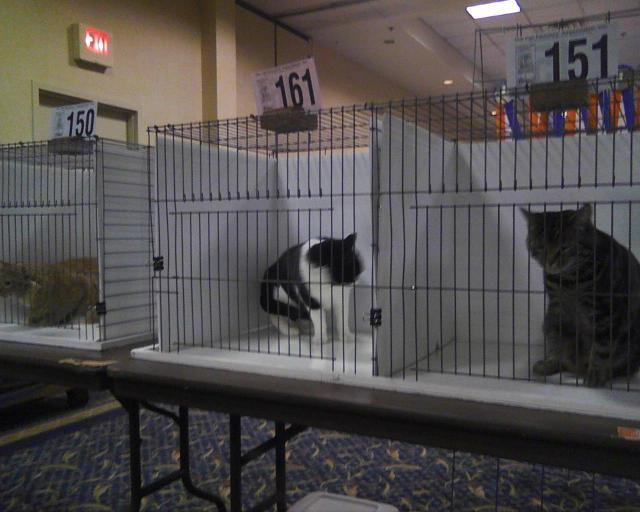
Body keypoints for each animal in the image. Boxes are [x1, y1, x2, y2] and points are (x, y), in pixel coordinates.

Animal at [524, 206, 640, 386]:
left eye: (564, 248)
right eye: (541, 247)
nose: (550, 262)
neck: (569, 280)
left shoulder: (605, 313)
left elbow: (601, 348)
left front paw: (596, 373)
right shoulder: (556, 309)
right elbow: (558, 341)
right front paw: (553, 359)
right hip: (548, 320)